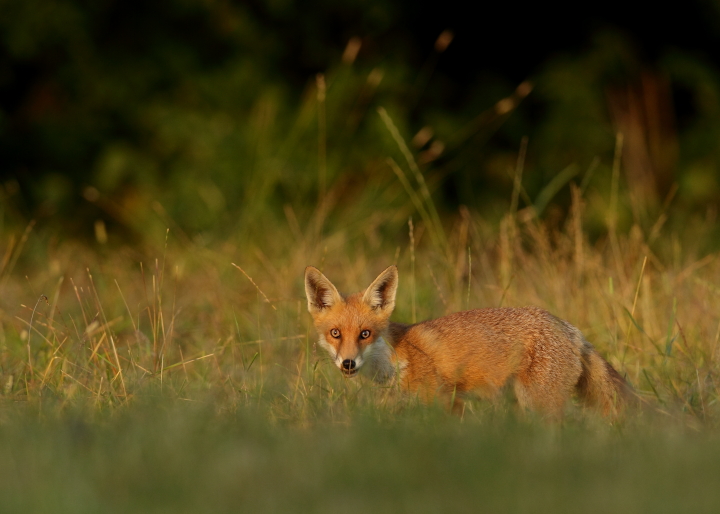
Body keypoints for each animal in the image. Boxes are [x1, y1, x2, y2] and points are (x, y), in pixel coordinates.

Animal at [304, 264, 631, 418]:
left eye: (365, 334)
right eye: (335, 333)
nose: (348, 363)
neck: (395, 359)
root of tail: (568, 327)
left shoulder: (446, 402)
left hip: (540, 403)